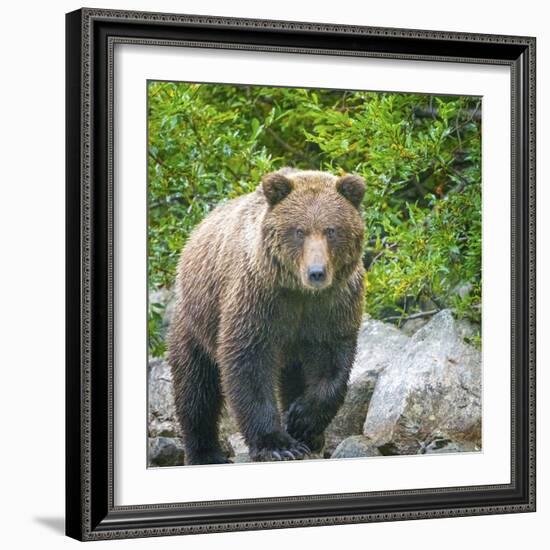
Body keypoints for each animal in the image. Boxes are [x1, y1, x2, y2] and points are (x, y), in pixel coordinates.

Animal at [168, 168, 366, 466]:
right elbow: (248, 362)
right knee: (196, 387)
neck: (300, 293)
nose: (316, 272)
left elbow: (333, 363)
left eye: (331, 230)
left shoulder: (332, 306)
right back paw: (205, 453)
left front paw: (302, 421)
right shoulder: (258, 298)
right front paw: (278, 444)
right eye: (299, 231)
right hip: (196, 320)